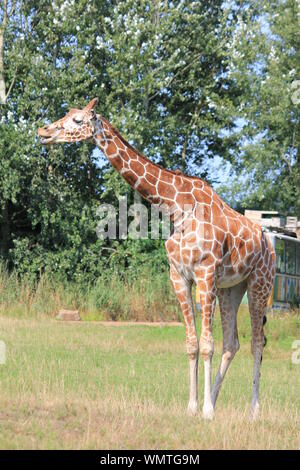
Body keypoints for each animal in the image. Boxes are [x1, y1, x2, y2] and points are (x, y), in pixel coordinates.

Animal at [38, 98, 276, 418]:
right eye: (66, 113)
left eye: (77, 120)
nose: (43, 131)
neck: (174, 208)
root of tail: (268, 242)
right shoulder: (179, 276)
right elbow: (192, 343)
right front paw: (194, 407)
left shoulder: (205, 275)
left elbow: (207, 344)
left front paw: (206, 412)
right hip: (232, 288)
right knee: (232, 343)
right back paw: (214, 399)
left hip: (260, 282)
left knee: (256, 342)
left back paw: (253, 411)